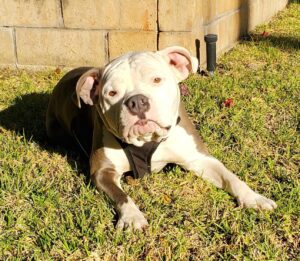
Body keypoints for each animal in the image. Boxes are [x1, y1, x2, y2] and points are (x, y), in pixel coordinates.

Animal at [45, 45, 278, 229]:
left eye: (156, 79)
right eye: (112, 93)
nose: (137, 101)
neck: (147, 139)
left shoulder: (199, 159)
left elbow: (231, 177)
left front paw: (253, 198)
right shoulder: (102, 171)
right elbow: (121, 196)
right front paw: (132, 217)